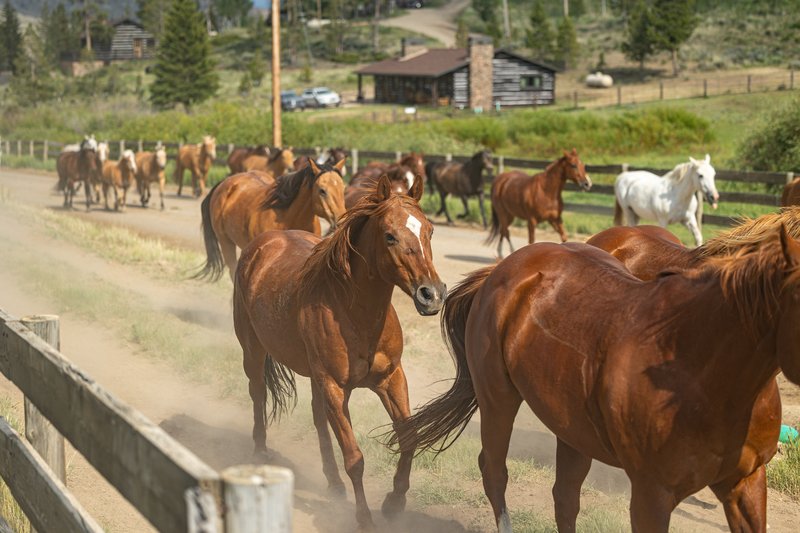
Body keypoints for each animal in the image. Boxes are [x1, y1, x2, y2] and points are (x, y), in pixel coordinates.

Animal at [197, 159, 347, 282]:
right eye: (322, 190)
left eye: (343, 188)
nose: (341, 220)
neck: (288, 219)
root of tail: (224, 183)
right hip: (226, 243)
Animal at [233, 174, 445, 531]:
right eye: (389, 236)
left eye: (429, 231)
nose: (432, 295)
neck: (354, 312)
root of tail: (261, 245)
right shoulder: (335, 387)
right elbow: (355, 458)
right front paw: (364, 519)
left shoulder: (391, 379)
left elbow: (409, 437)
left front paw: (394, 503)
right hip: (254, 349)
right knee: (258, 394)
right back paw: (260, 451)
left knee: (318, 419)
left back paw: (332, 483)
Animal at [391, 222, 800, 533]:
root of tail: (502, 269)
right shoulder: (652, 495)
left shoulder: (746, 482)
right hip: (498, 400)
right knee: (494, 472)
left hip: (572, 428)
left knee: (565, 497)